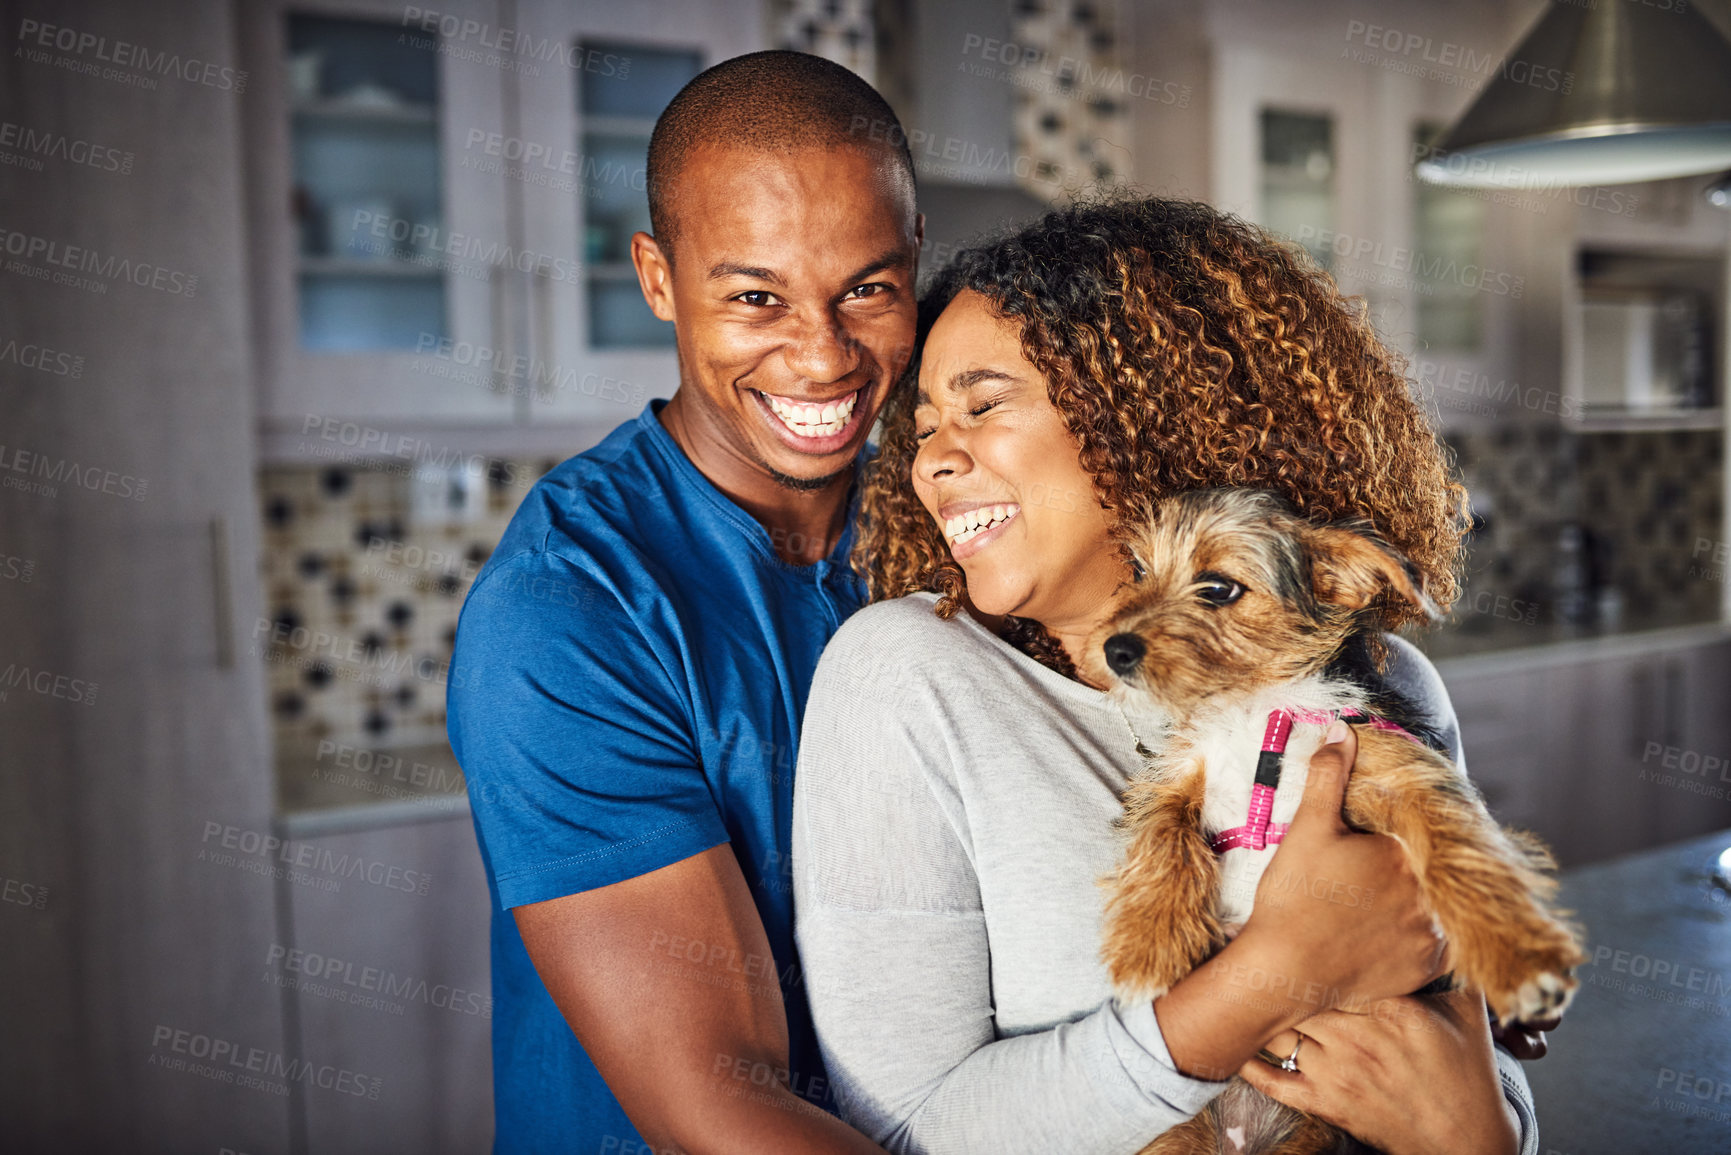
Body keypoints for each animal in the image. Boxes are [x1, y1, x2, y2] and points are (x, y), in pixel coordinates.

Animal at [1087, 491, 1585, 1155]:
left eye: (1218, 588)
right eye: (1139, 571)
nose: (1114, 649)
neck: (1257, 706)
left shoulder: (1399, 768)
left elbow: (1460, 851)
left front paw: (1518, 959)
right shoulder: (1176, 773)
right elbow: (1161, 838)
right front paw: (1151, 942)